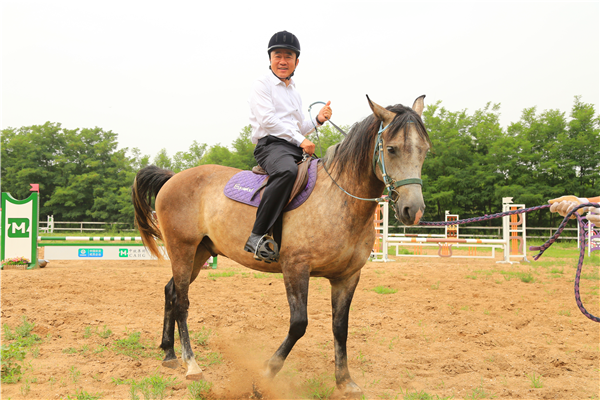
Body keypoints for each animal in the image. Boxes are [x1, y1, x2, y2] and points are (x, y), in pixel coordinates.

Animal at [131, 95, 432, 396]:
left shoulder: (347, 277)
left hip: (199, 253)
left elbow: (340, 327)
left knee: (170, 291)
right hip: (182, 249)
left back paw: (169, 354)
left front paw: (344, 381)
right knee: (182, 301)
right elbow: (299, 324)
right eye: (391, 149)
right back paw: (191, 364)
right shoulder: (295, 268)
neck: (337, 199)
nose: (413, 211)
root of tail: (172, 178)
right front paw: (265, 374)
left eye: (425, 150)